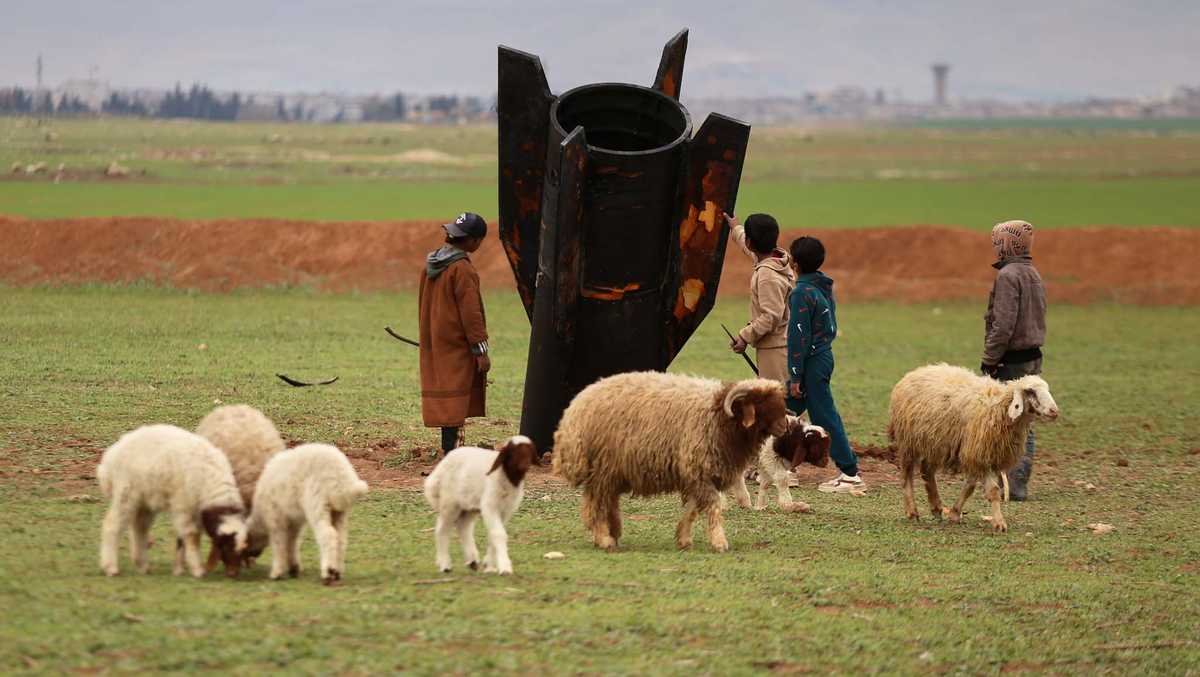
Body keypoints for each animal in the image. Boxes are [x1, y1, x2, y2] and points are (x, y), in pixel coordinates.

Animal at [97, 424, 248, 578]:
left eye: (242, 551)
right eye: (226, 546)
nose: (233, 574)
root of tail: (110, 456)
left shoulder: (196, 511)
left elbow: (185, 536)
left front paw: (180, 568)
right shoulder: (184, 505)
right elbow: (192, 535)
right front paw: (197, 569)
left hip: (144, 500)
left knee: (140, 528)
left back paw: (142, 565)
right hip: (126, 493)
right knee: (112, 525)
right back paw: (111, 568)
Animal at [243, 443, 368, 584]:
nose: (252, 555)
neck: (260, 515)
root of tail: (340, 477)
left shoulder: (276, 517)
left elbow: (279, 544)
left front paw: (277, 572)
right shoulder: (294, 520)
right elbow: (292, 542)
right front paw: (293, 568)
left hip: (318, 503)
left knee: (328, 535)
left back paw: (328, 572)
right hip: (339, 510)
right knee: (341, 538)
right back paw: (337, 572)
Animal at [422, 436, 537, 575]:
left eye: (530, 450)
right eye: (513, 452)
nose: (526, 464)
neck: (506, 476)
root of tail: (437, 471)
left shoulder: (506, 510)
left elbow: (493, 534)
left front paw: (489, 565)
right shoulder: (490, 506)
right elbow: (498, 534)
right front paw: (504, 567)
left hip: (468, 505)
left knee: (463, 527)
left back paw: (472, 561)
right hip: (450, 503)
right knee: (442, 529)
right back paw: (445, 565)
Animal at [552, 372, 789, 552]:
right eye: (761, 402)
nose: (785, 427)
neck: (718, 415)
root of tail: (575, 409)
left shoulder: (697, 475)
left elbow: (693, 509)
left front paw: (683, 538)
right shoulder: (698, 469)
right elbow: (713, 506)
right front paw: (719, 542)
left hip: (612, 469)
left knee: (607, 500)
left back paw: (613, 532)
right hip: (602, 467)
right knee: (596, 504)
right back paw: (603, 538)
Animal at [888, 364, 1059, 533]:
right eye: (1030, 391)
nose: (1054, 411)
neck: (999, 409)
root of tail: (916, 371)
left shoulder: (978, 454)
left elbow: (969, 487)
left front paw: (955, 514)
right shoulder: (980, 454)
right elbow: (993, 491)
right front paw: (999, 523)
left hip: (936, 442)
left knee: (927, 471)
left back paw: (936, 508)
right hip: (909, 441)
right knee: (907, 475)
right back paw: (912, 511)